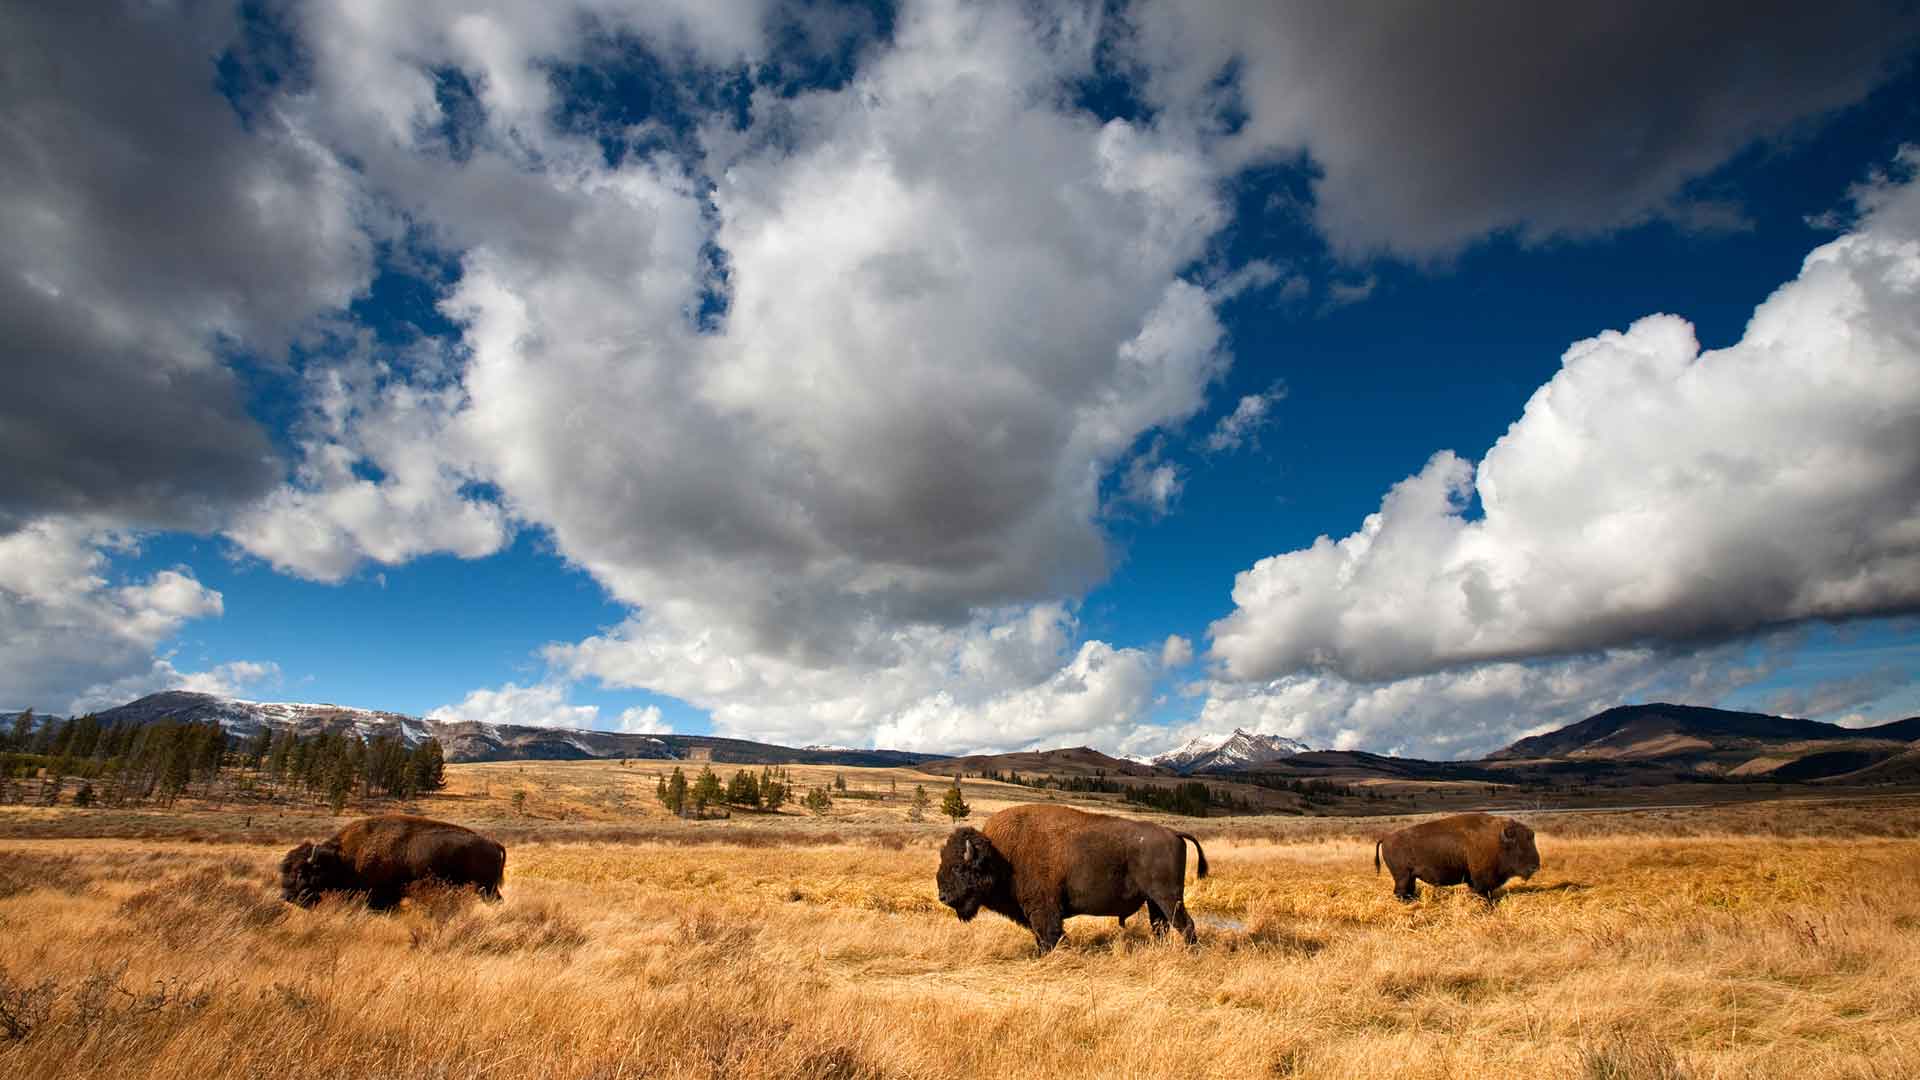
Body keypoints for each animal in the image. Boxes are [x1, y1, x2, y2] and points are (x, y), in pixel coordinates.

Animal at [936, 799, 1205, 949]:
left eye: (958, 867)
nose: (943, 897)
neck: (1000, 855)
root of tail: (1173, 832)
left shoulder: (1044, 910)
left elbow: (1049, 935)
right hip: (1154, 900)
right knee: (1161, 927)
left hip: (1168, 897)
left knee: (1185, 925)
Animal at [1374, 807, 1536, 899]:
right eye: (1518, 845)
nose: (1534, 867)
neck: (1498, 840)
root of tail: (1386, 838)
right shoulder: (1481, 879)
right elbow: (1483, 892)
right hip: (1402, 876)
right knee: (1400, 891)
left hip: (1409, 877)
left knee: (1407, 890)